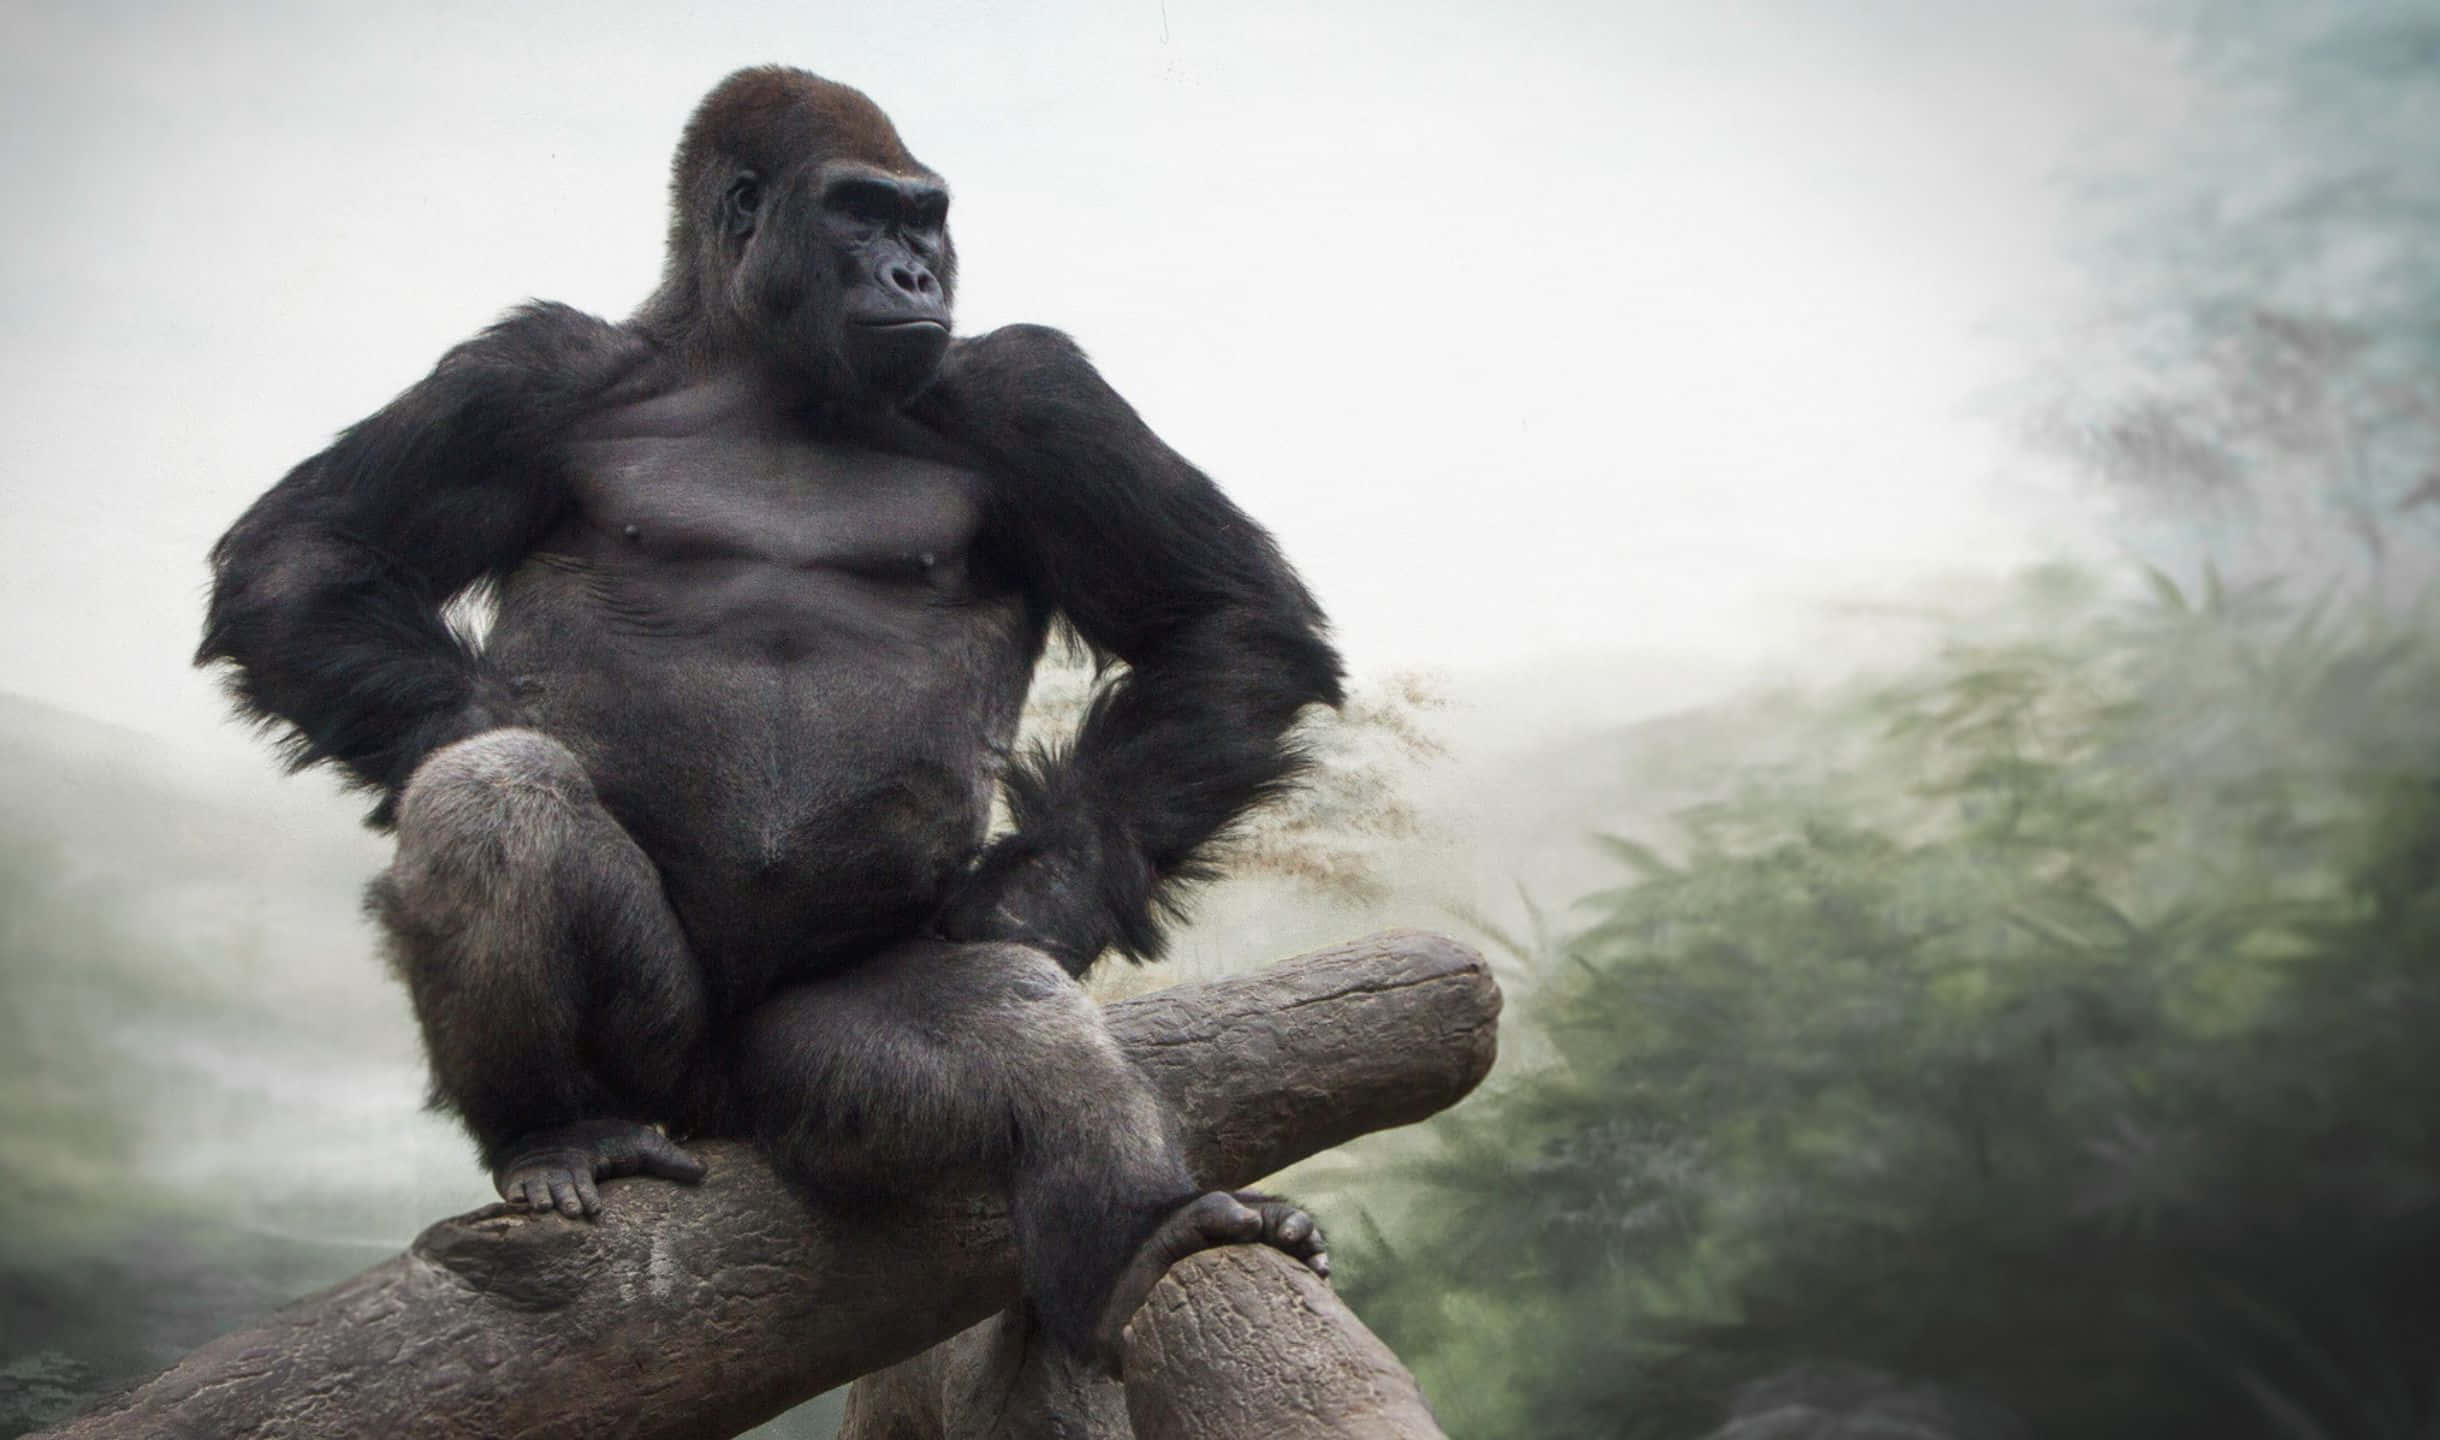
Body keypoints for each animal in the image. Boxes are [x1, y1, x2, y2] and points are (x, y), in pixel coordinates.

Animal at [196, 65, 1344, 1369]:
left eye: (924, 217)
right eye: (859, 211)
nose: (914, 276)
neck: (758, 366)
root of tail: (719, 1104)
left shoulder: (1031, 392)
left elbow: (1223, 620)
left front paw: (1038, 895)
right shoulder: (530, 371)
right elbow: (310, 562)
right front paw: (489, 704)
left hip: (801, 1063)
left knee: (1001, 1026)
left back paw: (1135, 1239)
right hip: (659, 1056)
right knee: (491, 797)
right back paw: (555, 1127)